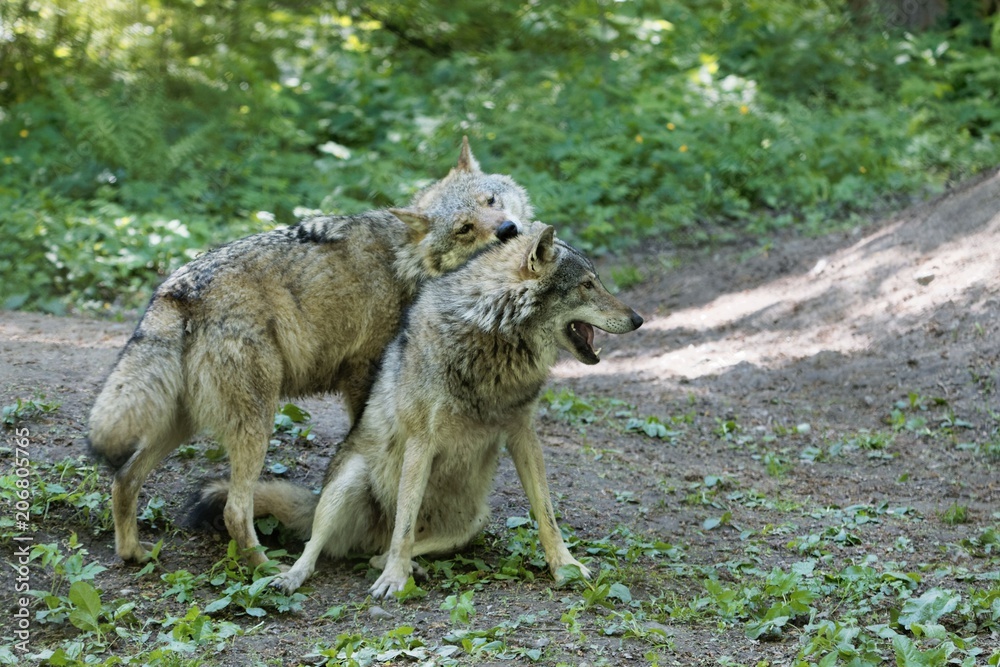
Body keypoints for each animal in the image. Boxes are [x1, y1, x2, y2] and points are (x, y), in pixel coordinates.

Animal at [88, 138, 531, 568]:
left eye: (491, 200)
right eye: (465, 228)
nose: (508, 230)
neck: (408, 261)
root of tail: (177, 287)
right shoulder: (364, 377)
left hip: (182, 424)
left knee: (124, 479)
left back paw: (134, 553)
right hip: (257, 423)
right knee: (234, 510)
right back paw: (269, 571)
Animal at [191, 224, 643, 596]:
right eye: (587, 285)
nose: (639, 319)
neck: (493, 337)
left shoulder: (523, 436)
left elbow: (547, 517)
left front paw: (564, 566)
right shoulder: (422, 440)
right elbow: (404, 526)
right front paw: (394, 580)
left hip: (474, 521)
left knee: (378, 550)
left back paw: (405, 567)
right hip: (347, 483)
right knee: (322, 545)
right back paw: (294, 576)